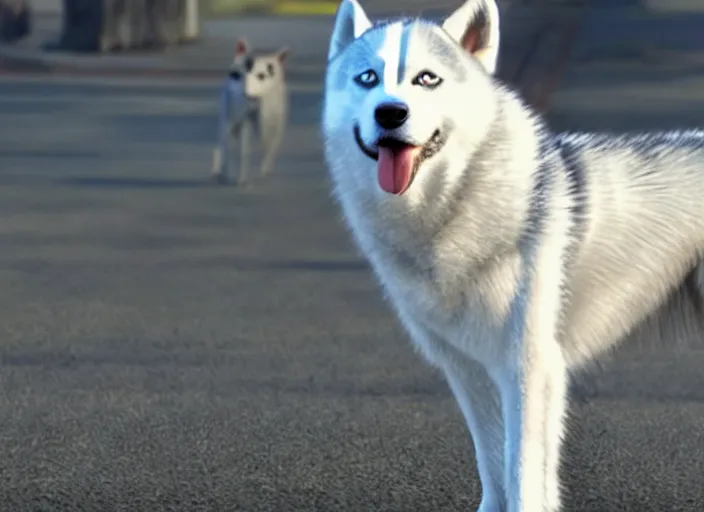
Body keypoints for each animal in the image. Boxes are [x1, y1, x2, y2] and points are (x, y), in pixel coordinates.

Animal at [214, 38, 292, 186]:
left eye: (261, 76)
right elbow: (244, 150)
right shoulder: (244, 120)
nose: (246, 93)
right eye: (237, 75)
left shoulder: (277, 123)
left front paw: (263, 169)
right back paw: (224, 171)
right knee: (225, 145)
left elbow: (270, 145)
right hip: (227, 116)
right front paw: (242, 177)